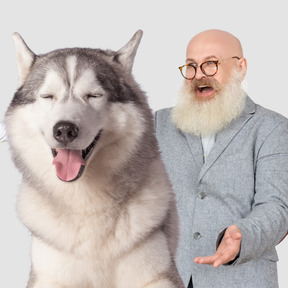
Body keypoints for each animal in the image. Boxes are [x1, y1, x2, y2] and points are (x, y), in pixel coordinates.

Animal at [3, 31, 184, 288]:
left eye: (93, 95)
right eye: (47, 96)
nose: (65, 130)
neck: (85, 199)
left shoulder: (159, 276)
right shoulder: (47, 276)